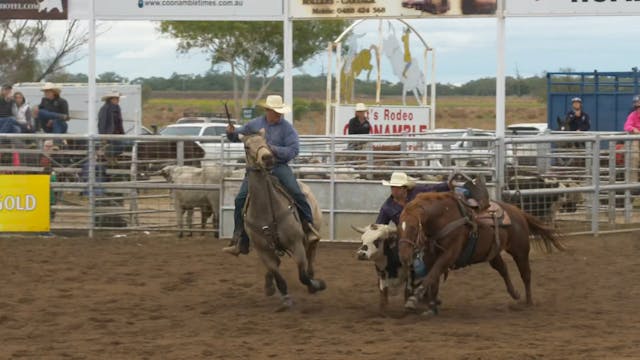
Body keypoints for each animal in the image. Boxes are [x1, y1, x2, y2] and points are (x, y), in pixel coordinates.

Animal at [241, 131, 328, 310]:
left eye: (266, 141)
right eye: (246, 146)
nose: (267, 157)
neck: (266, 210)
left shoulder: (296, 243)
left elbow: (303, 276)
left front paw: (317, 285)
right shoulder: (263, 251)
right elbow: (278, 275)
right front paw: (285, 297)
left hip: (312, 235)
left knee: (311, 254)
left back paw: (312, 279)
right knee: (278, 263)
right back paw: (269, 286)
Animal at [398, 193, 564, 314]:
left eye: (413, 228)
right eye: (400, 226)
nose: (403, 256)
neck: (443, 217)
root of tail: (518, 212)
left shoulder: (449, 254)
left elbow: (431, 276)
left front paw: (414, 299)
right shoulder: (430, 256)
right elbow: (432, 279)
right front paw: (431, 305)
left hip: (520, 251)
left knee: (526, 274)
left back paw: (528, 302)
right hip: (494, 253)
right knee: (503, 269)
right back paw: (515, 293)